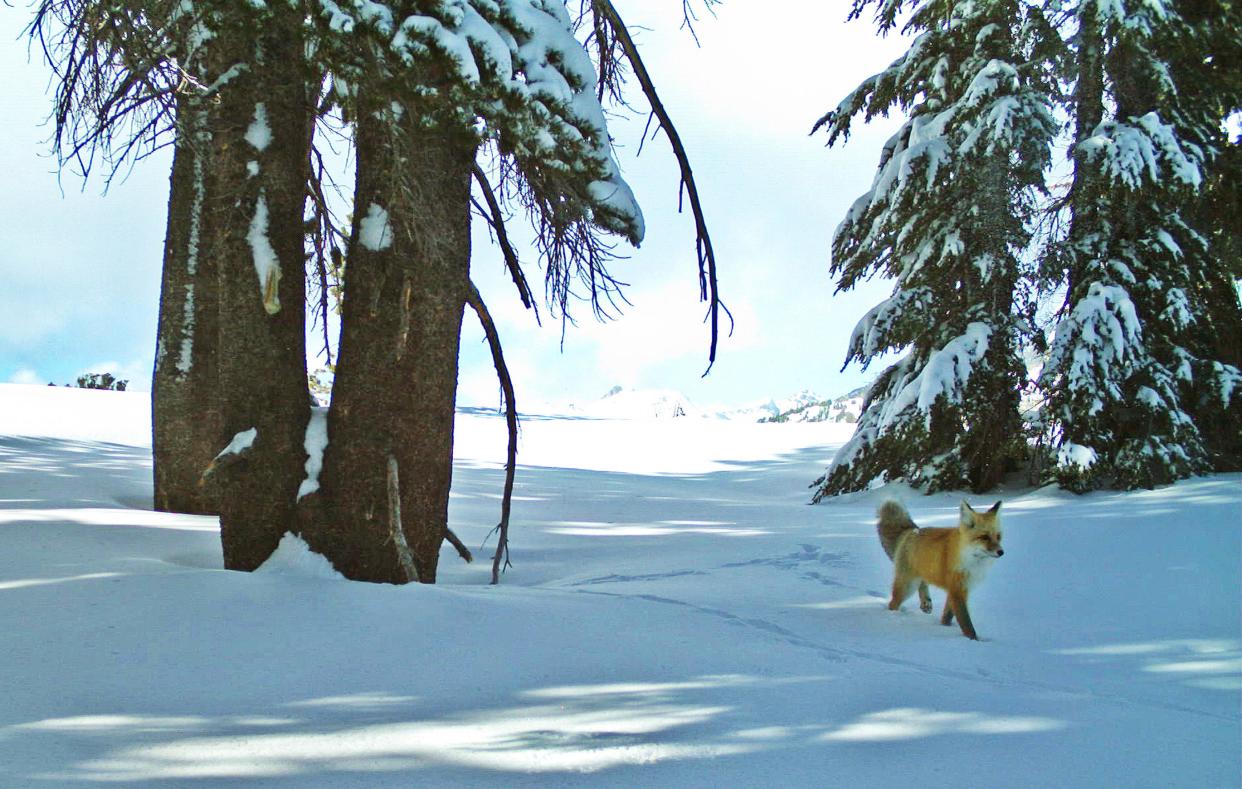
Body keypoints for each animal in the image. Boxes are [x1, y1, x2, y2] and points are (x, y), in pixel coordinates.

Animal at [879, 499, 1003, 641]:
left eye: (998, 536)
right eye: (984, 537)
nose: (1001, 552)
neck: (971, 561)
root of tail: (911, 531)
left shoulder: (958, 588)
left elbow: (947, 616)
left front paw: (944, 627)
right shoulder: (957, 590)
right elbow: (966, 624)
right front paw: (974, 641)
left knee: (923, 583)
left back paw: (925, 602)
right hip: (908, 586)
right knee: (893, 604)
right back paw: (894, 617)